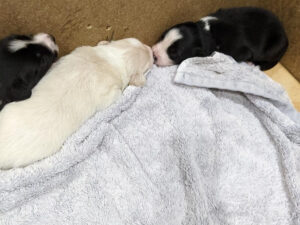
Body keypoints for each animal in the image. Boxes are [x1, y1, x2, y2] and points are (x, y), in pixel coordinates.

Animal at [0, 38, 154, 169]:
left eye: (139, 41)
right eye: (148, 64)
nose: (152, 50)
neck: (115, 57)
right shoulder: (108, 93)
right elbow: (115, 95)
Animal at [152, 6, 288, 70]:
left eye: (174, 53)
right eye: (162, 36)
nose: (154, 54)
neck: (206, 33)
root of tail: (287, 40)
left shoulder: (241, 52)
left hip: (273, 47)